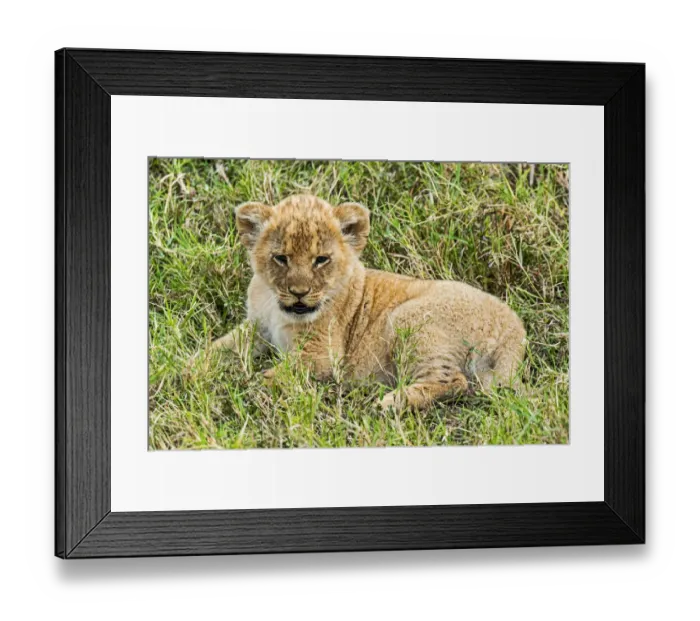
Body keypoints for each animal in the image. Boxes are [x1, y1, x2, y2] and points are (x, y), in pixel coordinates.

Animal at [210, 194, 526, 411]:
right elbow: (219, 349)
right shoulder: (257, 327)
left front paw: (242, 386)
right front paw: (199, 370)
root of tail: (514, 326)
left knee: (453, 382)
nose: (299, 292)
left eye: (321, 260)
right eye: (280, 258)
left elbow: (273, 376)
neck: (276, 307)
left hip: (407, 318)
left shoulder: (323, 357)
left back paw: (390, 402)